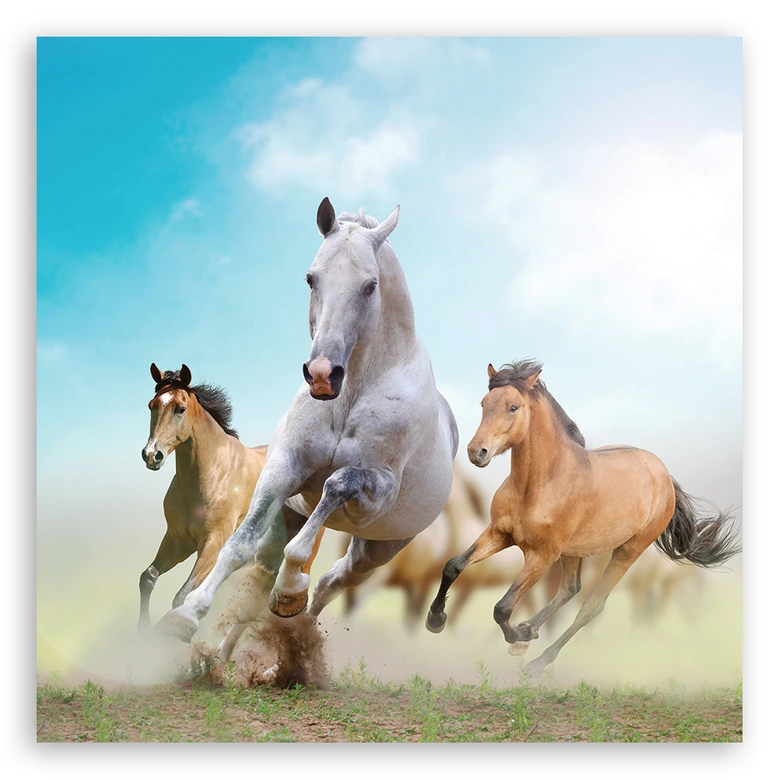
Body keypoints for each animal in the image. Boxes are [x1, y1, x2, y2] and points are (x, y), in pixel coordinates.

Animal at [140, 364, 324, 658]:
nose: (151, 455)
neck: (211, 473)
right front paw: (143, 633)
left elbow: (181, 595)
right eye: (151, 405)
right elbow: (148, 577)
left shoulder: (212, 543)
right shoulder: (178, 541)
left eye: (180, 408)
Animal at [156, 198, 458, 644]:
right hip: (291, 516)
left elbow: (335, 487)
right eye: (311, 279)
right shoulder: (284, 468)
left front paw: (290, 589)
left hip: (377, 549)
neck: (351, 394)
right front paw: (187, 615)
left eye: (370, 286)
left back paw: (293, 618)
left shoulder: (376, 491)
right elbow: (239, 544)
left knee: (332, 582)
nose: (321, 374)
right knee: (261, 581)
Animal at [426, 360, 741, 678]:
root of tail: (664, 475)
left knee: (591, 605)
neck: (538, 484)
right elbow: (453, 566)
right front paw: (436, 619)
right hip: (574, 551)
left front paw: (517, 635)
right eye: (484, 403)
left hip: (627, 551)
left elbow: (502, 607)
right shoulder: (500, 534)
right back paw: (529, 632)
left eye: (513, 407)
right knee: (570, 590)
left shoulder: (542, 554)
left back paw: (538, 660)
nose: (476, 452)